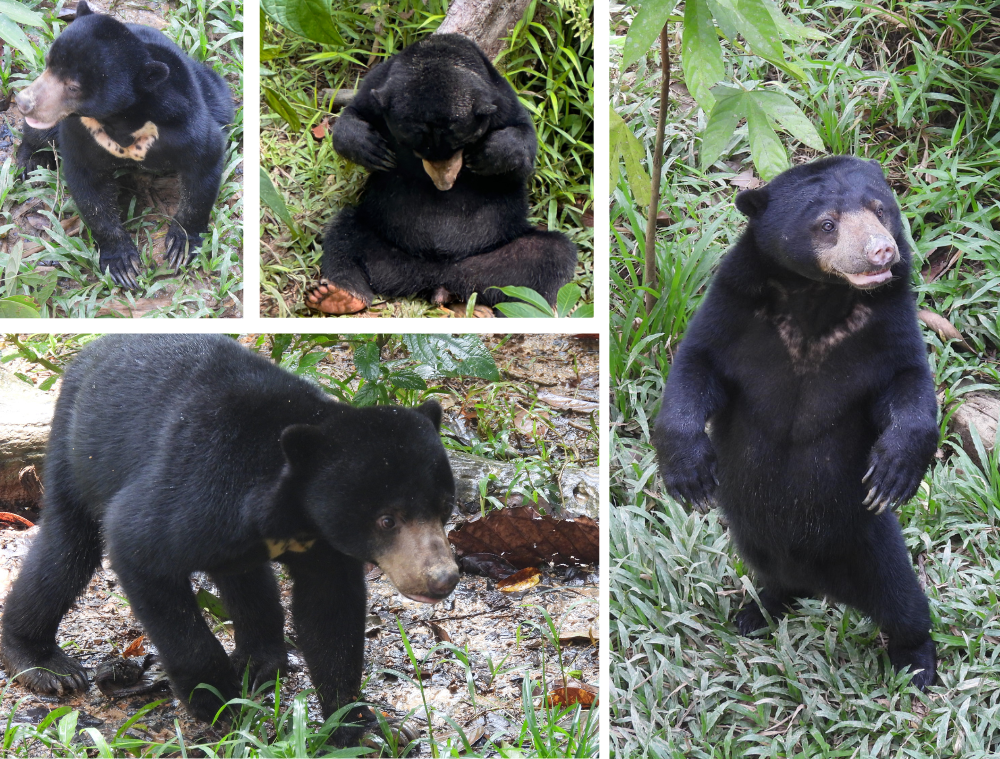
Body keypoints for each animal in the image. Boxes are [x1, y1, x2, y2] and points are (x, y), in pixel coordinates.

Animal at [0, 336, 460, 744]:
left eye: (445, 508)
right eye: (387, 519)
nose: (443, 577)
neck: (290, 508)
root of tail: (90, 352)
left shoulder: (324, 546)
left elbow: (331, 618)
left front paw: (365, 727)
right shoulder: (200, 488)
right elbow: (138, 547)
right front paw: (215, 699)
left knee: (244, 578)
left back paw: (261, 661)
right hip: (75, 454)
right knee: (66, 552)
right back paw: (44, 665)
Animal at [14, 2, 233, 290]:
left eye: (73, 87)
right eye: (48, 64)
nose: (23, 102)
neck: (121, 119)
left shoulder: (182, 122)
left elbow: (204, 161)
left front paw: (181, 246)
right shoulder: (80, 131)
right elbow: (89, 188)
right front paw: (122, 265)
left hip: (214, 92)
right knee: (41, 135)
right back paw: (30, 164)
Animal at [302, 32, 580, 314]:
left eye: (462, 144)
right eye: (414, 147)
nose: (444, 183)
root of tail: (438, 281)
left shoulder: (502, 100)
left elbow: (524, 144)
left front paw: (489, 155)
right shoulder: (375, 88)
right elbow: (351, 116)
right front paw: (371, 148)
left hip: (493, 260)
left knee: (551, 254)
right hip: (387, 248)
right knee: (345, 234)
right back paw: (337, 295)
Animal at [652, 157, 940, 692]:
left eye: (880, 210)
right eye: (827, 224)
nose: (881, 251)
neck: (816, 298)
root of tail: (820, 582)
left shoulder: (887, 327)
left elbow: (908, 383)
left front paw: (893, 473)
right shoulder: (733, 310)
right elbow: (697, 367)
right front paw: (689, 477)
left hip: (870, 543)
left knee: (903, 600)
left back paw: (916, 662)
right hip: (753, 538)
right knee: (773, 575)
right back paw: (759, 609)